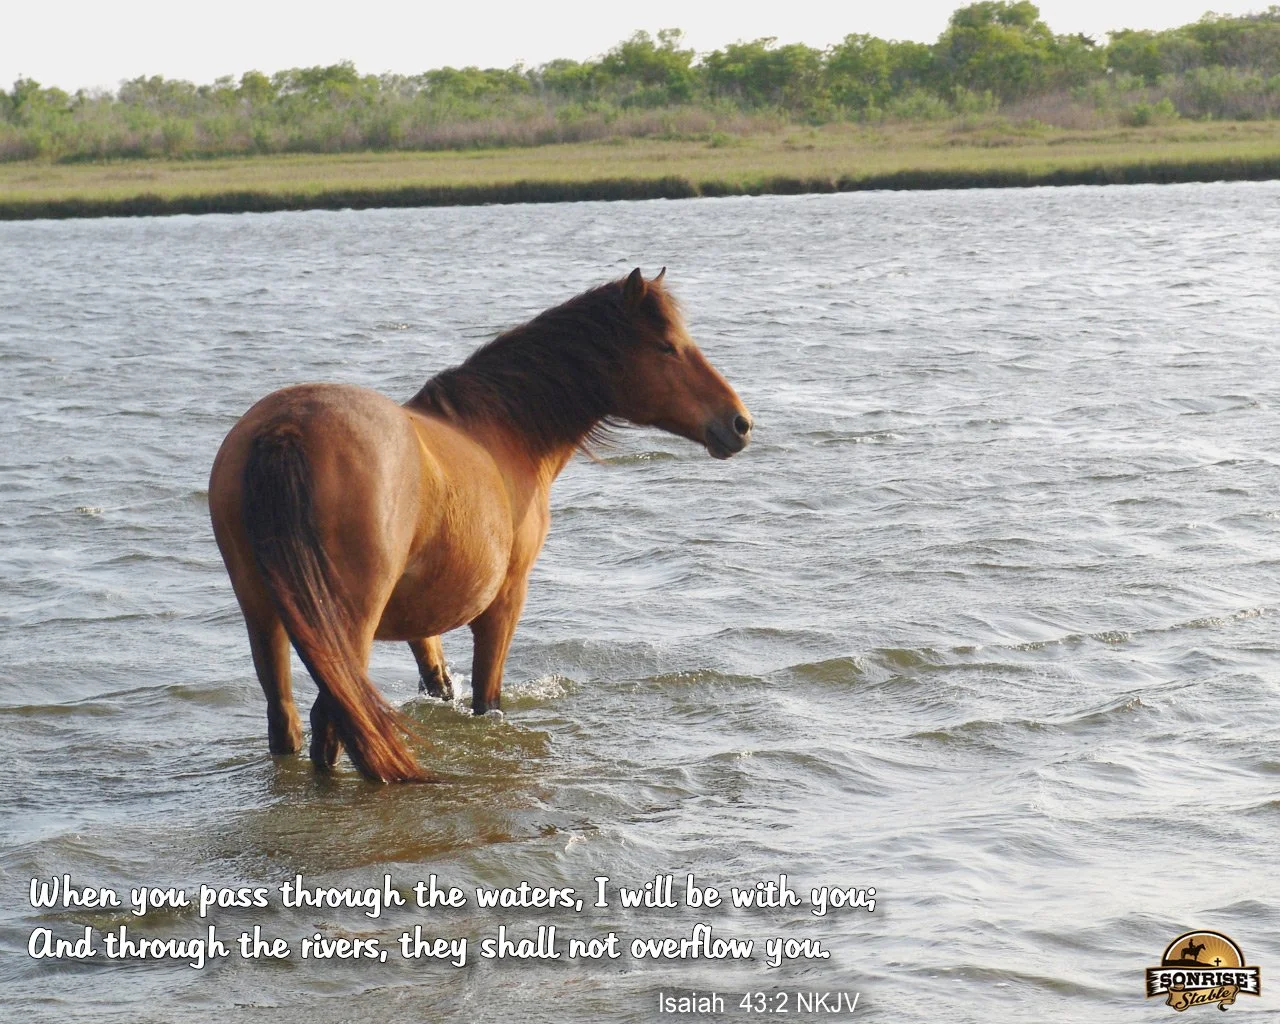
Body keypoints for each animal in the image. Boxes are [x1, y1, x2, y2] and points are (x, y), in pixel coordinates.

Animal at [209, 269, 752, 782]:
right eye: (667, 347)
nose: (739, 423)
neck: (503, 431)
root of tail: (284, 428)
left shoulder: (421, 615)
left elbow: (439, 681)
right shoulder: (506, 600)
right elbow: (487, 700)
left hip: (263, 613)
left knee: (288, 721)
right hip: (346, 625)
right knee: (333, 724)